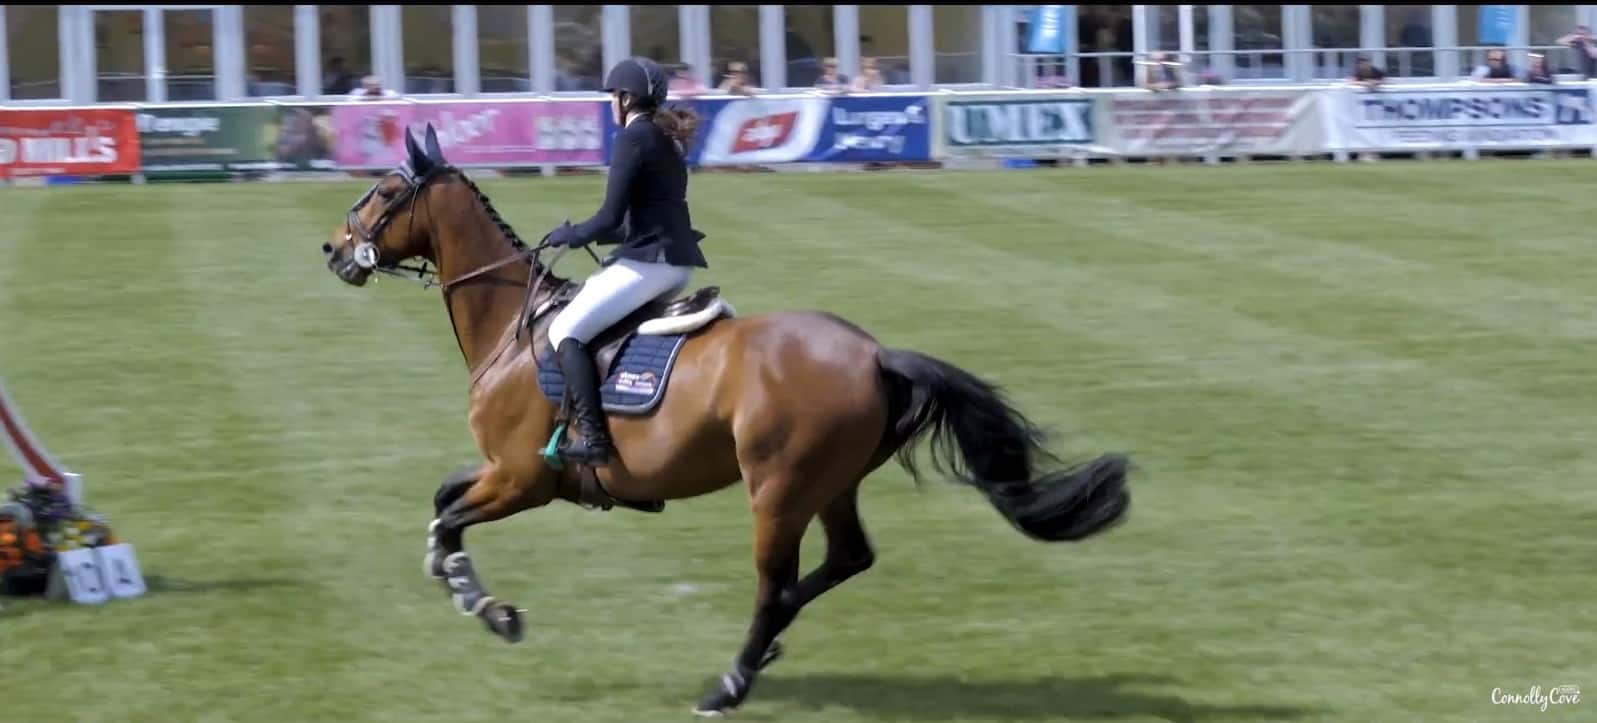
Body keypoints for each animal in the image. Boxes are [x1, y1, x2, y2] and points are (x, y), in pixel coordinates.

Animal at [320, 124, 1133, 716]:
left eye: (384, 190)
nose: (333, 249)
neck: (514, 331)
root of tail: (874, 353)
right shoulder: (502, 469)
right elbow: (442, 502)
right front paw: (462, 584)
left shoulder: (522, 480)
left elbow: (452, 519)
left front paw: (485, 603)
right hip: (828, 485)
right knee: (846, 559)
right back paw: (768, 649)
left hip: (776, 490)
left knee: (774, 587)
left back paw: (730, 684)